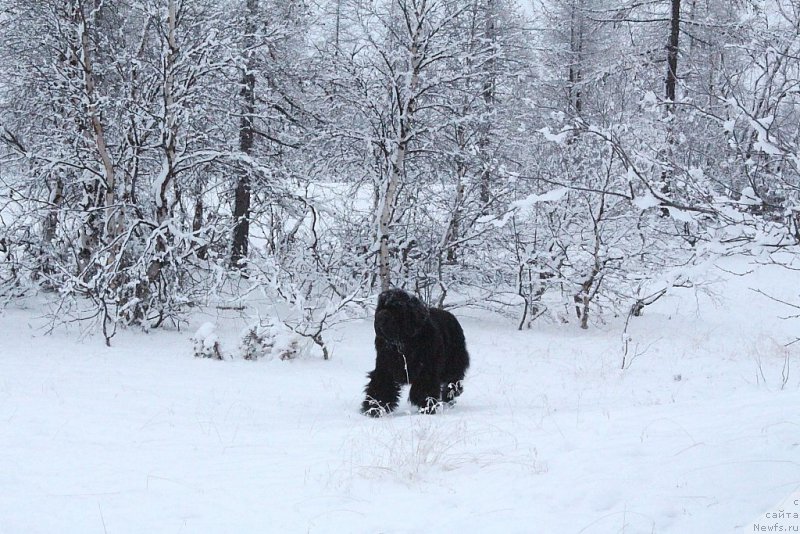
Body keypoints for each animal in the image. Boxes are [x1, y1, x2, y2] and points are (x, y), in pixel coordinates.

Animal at [360, 288, 468, 418]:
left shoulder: (427, 370)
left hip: (454, 363)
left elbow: (423, 388)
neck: (404, 343)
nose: (380, 316)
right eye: (381, 307)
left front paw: (426, 407)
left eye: (397, 308)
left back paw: (449, 396)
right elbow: (380, 386)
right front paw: (374, 408)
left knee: (453, 381)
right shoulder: (385, 368)